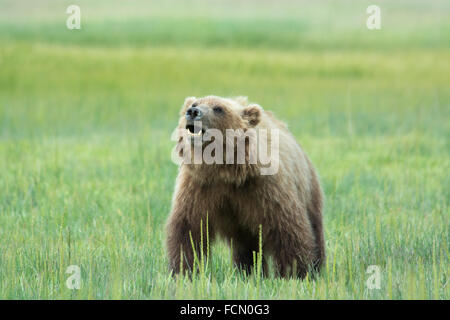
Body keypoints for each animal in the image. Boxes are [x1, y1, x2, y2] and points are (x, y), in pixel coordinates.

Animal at [165, 95, 324, 278]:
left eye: (218, 108)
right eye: (194, 103)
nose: (193, 112)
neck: (225, 171)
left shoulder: (265, 188)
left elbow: (288, 229)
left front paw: (295, 273)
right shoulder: (198, 187)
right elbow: (189, 230)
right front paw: (183, 271)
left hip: (309, 188)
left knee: (315, 228)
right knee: (245, 247)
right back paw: (247, 272)